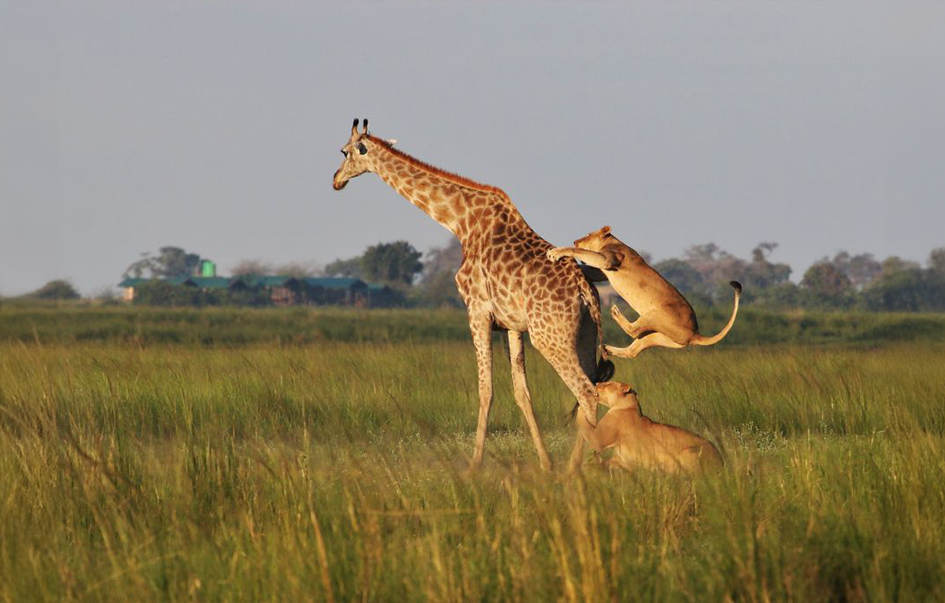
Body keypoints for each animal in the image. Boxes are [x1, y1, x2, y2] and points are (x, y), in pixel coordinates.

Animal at [332, 120, 612, 474]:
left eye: (344, 151)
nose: (336, 180)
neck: (460, 222)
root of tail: (585, 290)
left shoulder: (477, 311)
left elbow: (485, 389)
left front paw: (474, 465)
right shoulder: (511, 325)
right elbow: (522, 392)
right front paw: (545, 462)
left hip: (551, 336)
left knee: (586, 393)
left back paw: (574, 468)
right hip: (584, 334)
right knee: (593, 389)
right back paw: (590, 461)